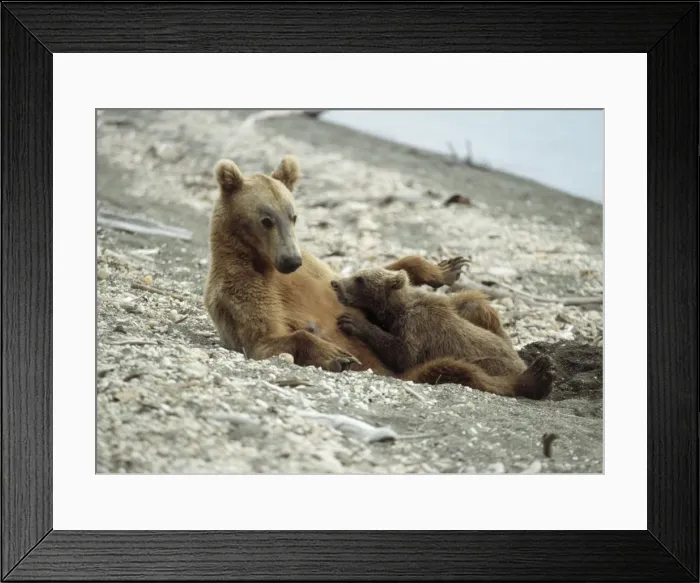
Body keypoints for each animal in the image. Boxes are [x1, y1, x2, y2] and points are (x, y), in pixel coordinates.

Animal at [203, 155, 471, 375]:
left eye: (293, 216)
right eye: (266, 220)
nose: (291, 260)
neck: (265, 262)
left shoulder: (318, 273)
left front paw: (448, 268)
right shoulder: (241, 286)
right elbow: (265, 337)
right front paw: (337, 355)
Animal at [331, 267, 554, 399]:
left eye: (360, 279)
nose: (336, 283)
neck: (397, 311)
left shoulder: (419, 327)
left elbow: (403, 354)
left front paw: (353, 322)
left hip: (492, 363)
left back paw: (539, 375)